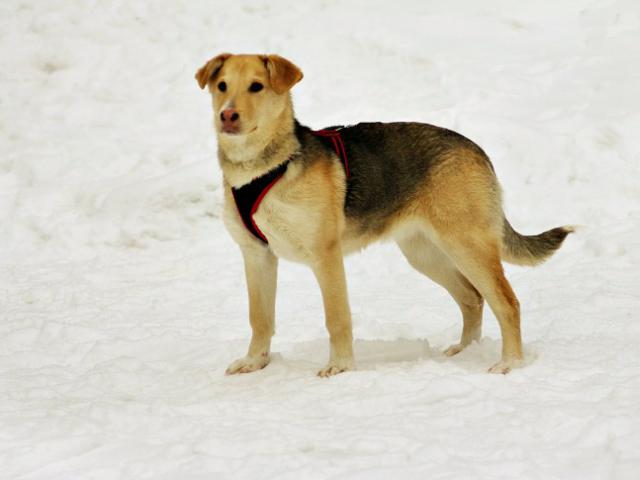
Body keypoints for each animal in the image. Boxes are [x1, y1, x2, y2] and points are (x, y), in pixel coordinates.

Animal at [194, 51, 568, 376]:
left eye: (256, 86)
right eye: (222, 85)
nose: (227, 115)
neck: (266, 166)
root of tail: (476, 149)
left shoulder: (325, 257)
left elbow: (337, 318)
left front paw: (341, 366)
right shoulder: (256, 255)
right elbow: (260, 318)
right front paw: (255, 362)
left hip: (468, 247)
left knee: (507, 302)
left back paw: (510, 363)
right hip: (425, 254)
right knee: (472, 299)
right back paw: (466, 351)